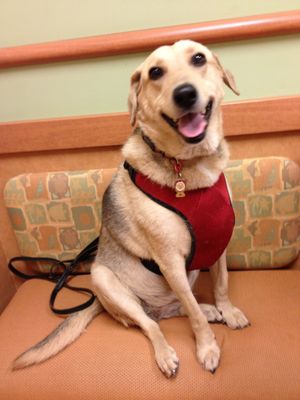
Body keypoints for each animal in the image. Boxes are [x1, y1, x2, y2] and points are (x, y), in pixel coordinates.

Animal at [13, 40, 248, 378]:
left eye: (198, 58)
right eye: (156, 72)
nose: (185, 94)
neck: (189, 164)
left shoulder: (218, 246)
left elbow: (222, 284)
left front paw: (227, 311)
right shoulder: (170, 262)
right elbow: (193, 317)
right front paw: (207, 348)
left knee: (174, 309)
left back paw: (209, 309)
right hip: (103, 278)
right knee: (153, 324)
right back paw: (166, 353)